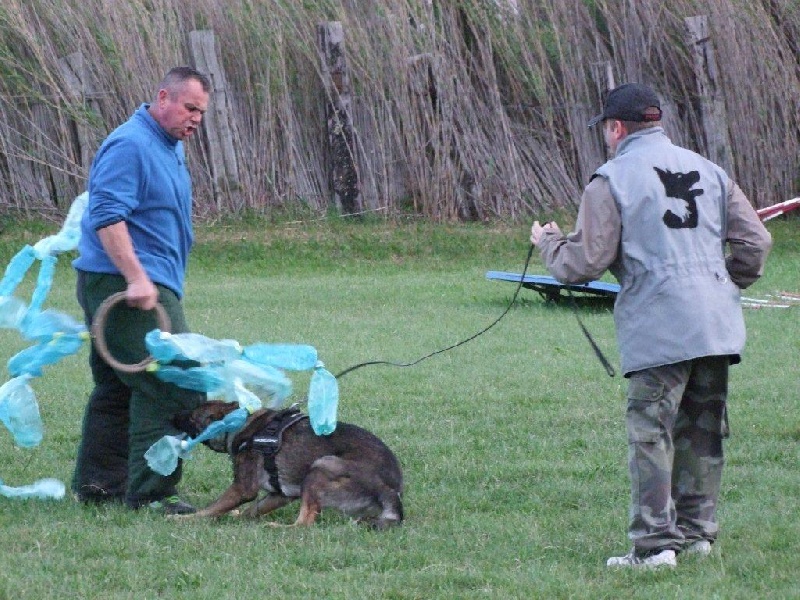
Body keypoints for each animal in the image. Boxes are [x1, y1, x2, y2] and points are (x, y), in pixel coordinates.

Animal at [172, 400, 404, 528]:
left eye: (191, 418)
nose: (173, 415)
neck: (241, 426)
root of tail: (390, 489)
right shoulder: (281, 494)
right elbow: (252, 510)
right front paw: (237, 516)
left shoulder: (242, 489)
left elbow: (212, 508)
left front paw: (187, 519)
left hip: (321, 465)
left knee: (304, 524)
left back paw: (277, 527)